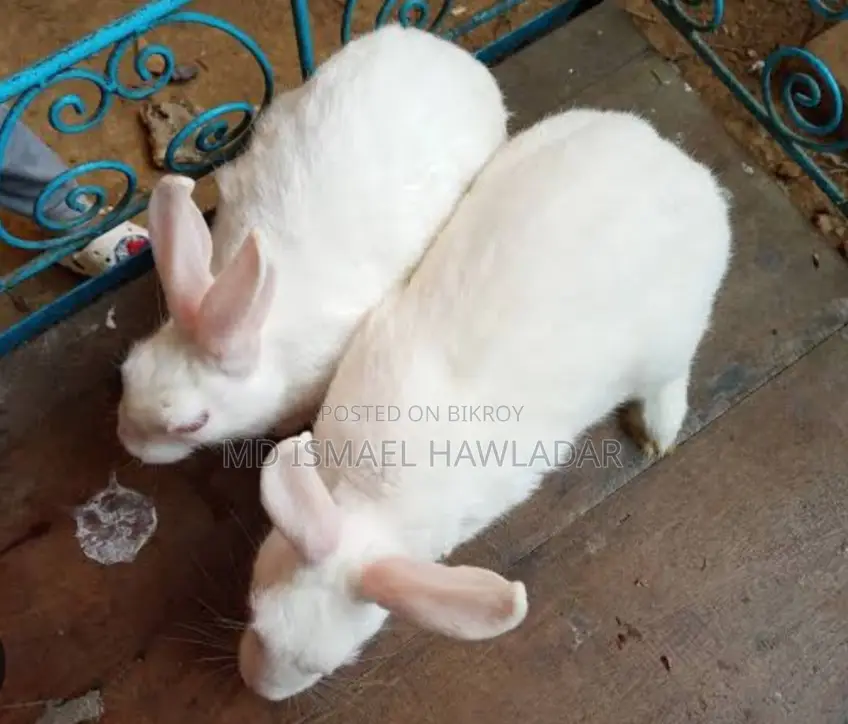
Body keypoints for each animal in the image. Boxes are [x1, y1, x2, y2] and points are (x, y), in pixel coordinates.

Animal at [236, 107, 733, 701]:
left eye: (329, 666)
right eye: (255, 616)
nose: (258, 688)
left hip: (671, 341)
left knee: (673, 375)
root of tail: (681, 165)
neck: (367, 502)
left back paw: (659, 431)